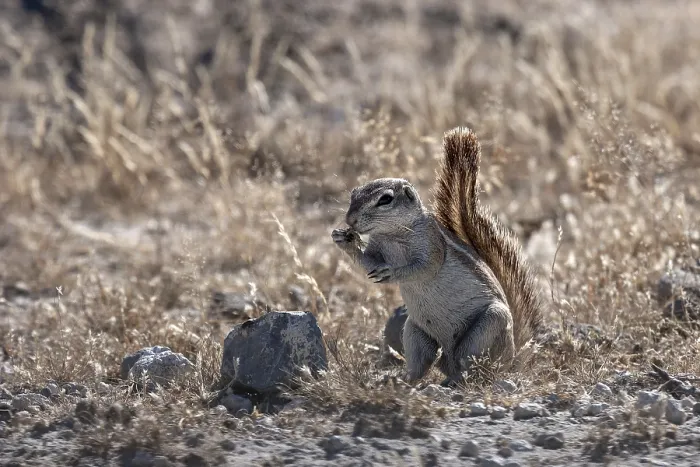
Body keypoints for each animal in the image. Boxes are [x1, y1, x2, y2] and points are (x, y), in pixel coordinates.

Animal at [331, 127, 544, 386]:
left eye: (385, 199)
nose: (350, 220)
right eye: (354, 193)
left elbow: (424, 267)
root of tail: (513, 357)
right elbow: (368, 261)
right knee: (422, 363)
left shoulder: (433, 245)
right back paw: (402, 380)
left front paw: (393, 272)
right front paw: (344, 240)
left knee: (475, 367)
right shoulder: (377, 249)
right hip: (415, 331)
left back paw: (458, 381)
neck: (393, 236)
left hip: (488, 327)